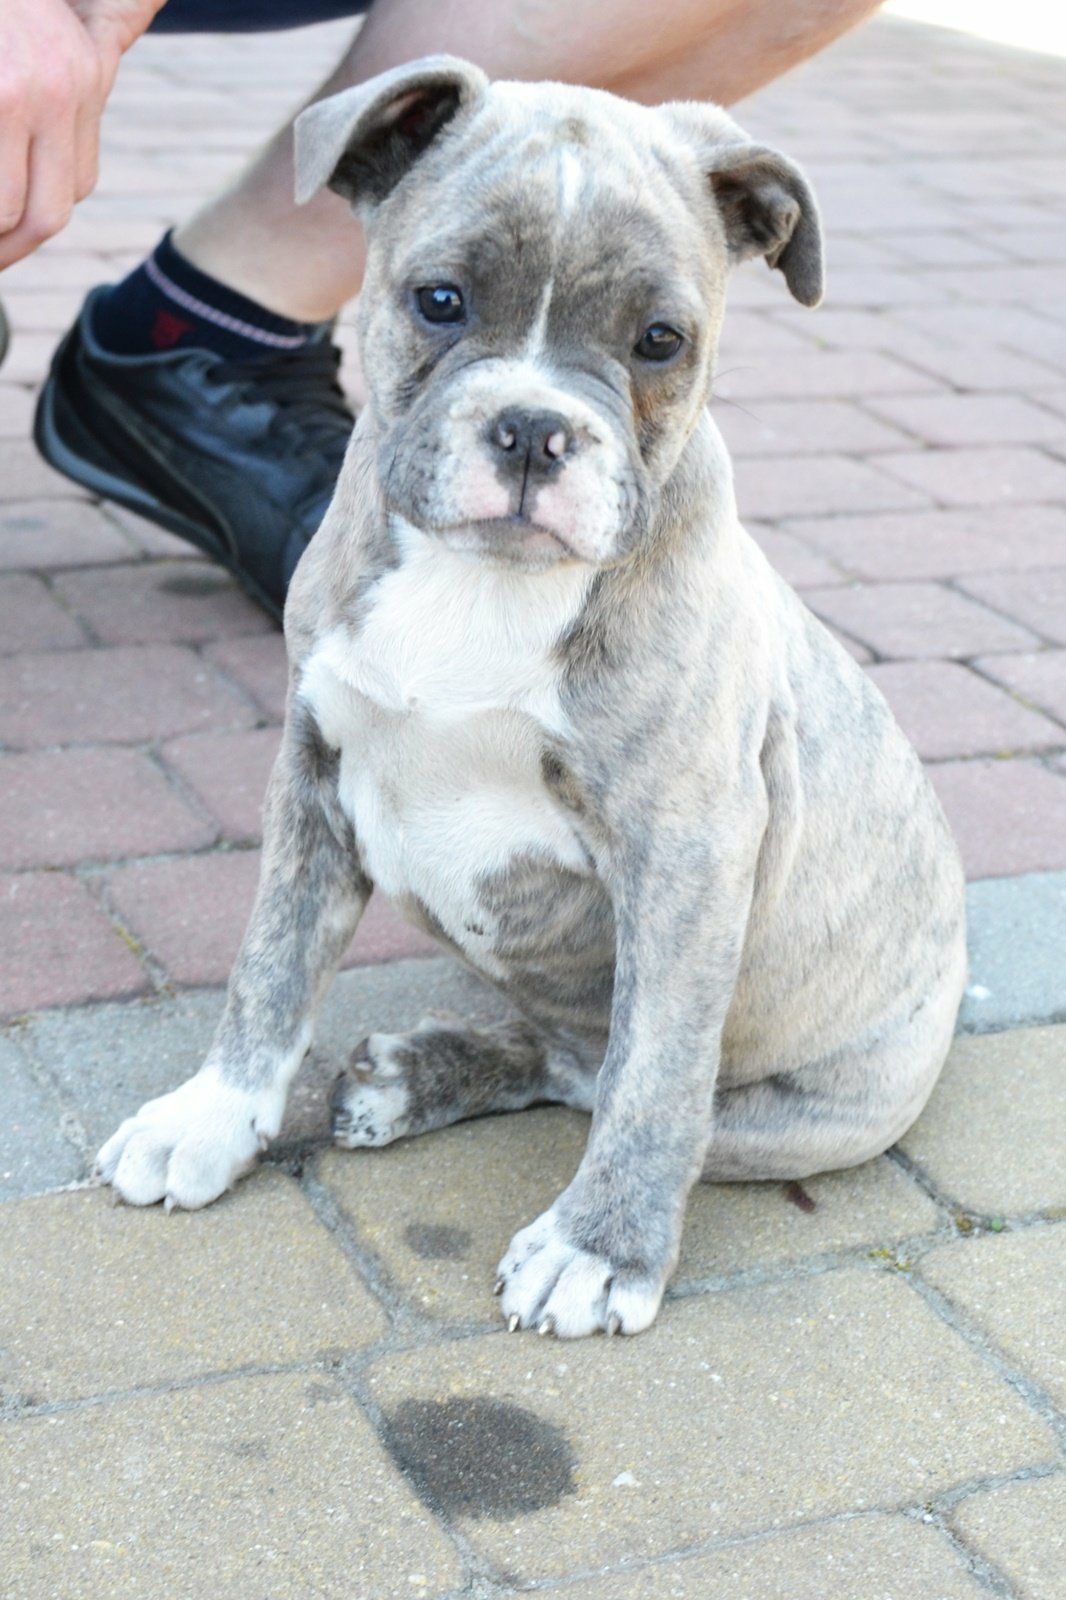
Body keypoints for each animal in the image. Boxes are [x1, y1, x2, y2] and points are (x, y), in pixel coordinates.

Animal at [95, 56, 966, 1337]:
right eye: (439, 300)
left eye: (660, 341)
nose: (533, 428)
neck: (484, 582)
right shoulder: (311, 777)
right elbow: (270, 965)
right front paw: (211, 1114)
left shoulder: (686, 849)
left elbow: (656, 1071)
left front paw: (599, 1248)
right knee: (564, 1056)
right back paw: (416, 1076)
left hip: (813, 1111)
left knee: (618, 1084)